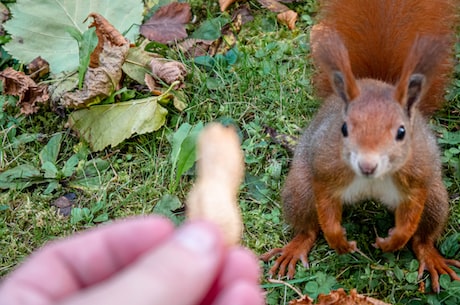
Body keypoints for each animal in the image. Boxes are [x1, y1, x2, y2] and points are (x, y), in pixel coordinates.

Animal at [262, 0, 460, 290]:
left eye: (402, 132)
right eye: (343, 128)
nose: (367, 165)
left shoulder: (418, 173)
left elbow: (412, 211)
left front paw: (394, 240)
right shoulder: (325, 166)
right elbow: (325, 203)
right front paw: (339, 240)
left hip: (436, 200)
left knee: (424, 235)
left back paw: (430, 256)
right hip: (300, 189)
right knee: (307, 226)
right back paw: (296, 247)